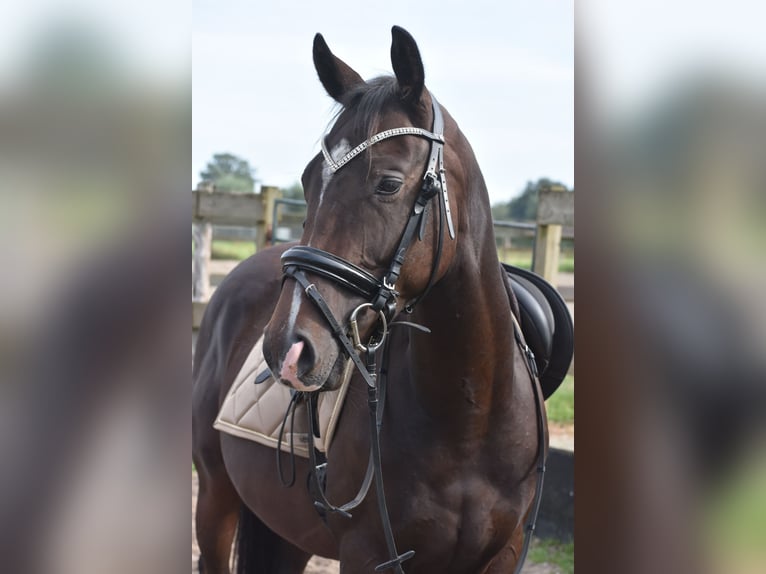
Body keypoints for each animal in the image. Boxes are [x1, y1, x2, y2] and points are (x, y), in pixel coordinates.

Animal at [195, 27, 548, 574]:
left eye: (388, 183)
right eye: (307, 180)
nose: (286, 349)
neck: (469, 416)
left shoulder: (503, 555)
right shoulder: (368, 554)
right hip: (214, 498)